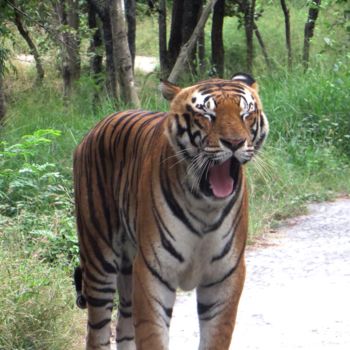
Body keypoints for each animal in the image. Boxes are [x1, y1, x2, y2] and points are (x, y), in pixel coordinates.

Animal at [72, 72, 270, 348]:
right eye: (207, 115)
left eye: (246, 114)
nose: (234, 143)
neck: (204, 205)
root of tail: (97, 126)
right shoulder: (153, 273)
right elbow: (152, 336)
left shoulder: (225, 275)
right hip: (99, 258)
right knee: (97, 331)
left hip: (128, 267)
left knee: (124, 327)